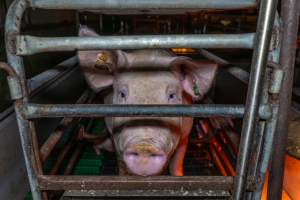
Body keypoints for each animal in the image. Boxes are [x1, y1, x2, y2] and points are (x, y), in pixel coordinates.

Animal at [78, 25, 217, 176]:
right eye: (122, 94)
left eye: (172, 95)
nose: (144, 147)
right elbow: (121, 165)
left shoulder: (185, 135)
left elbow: (176, 164)